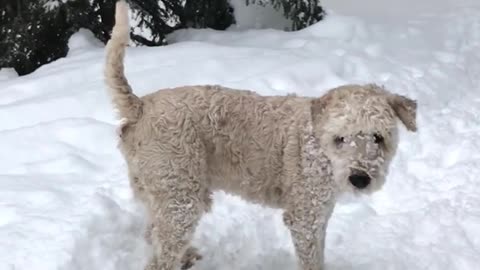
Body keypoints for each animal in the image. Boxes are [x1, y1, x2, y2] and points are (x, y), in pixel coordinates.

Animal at [104, 1, 416, 268]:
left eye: (378, 137)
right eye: (340, 138)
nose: (360, 179)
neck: (320, 151)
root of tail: (140, 106)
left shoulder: (321, 211)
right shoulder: (305, 215)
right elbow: (312, 259)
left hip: (165, 193)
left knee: (153, 235)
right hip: (180, 197)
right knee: (160, 256)